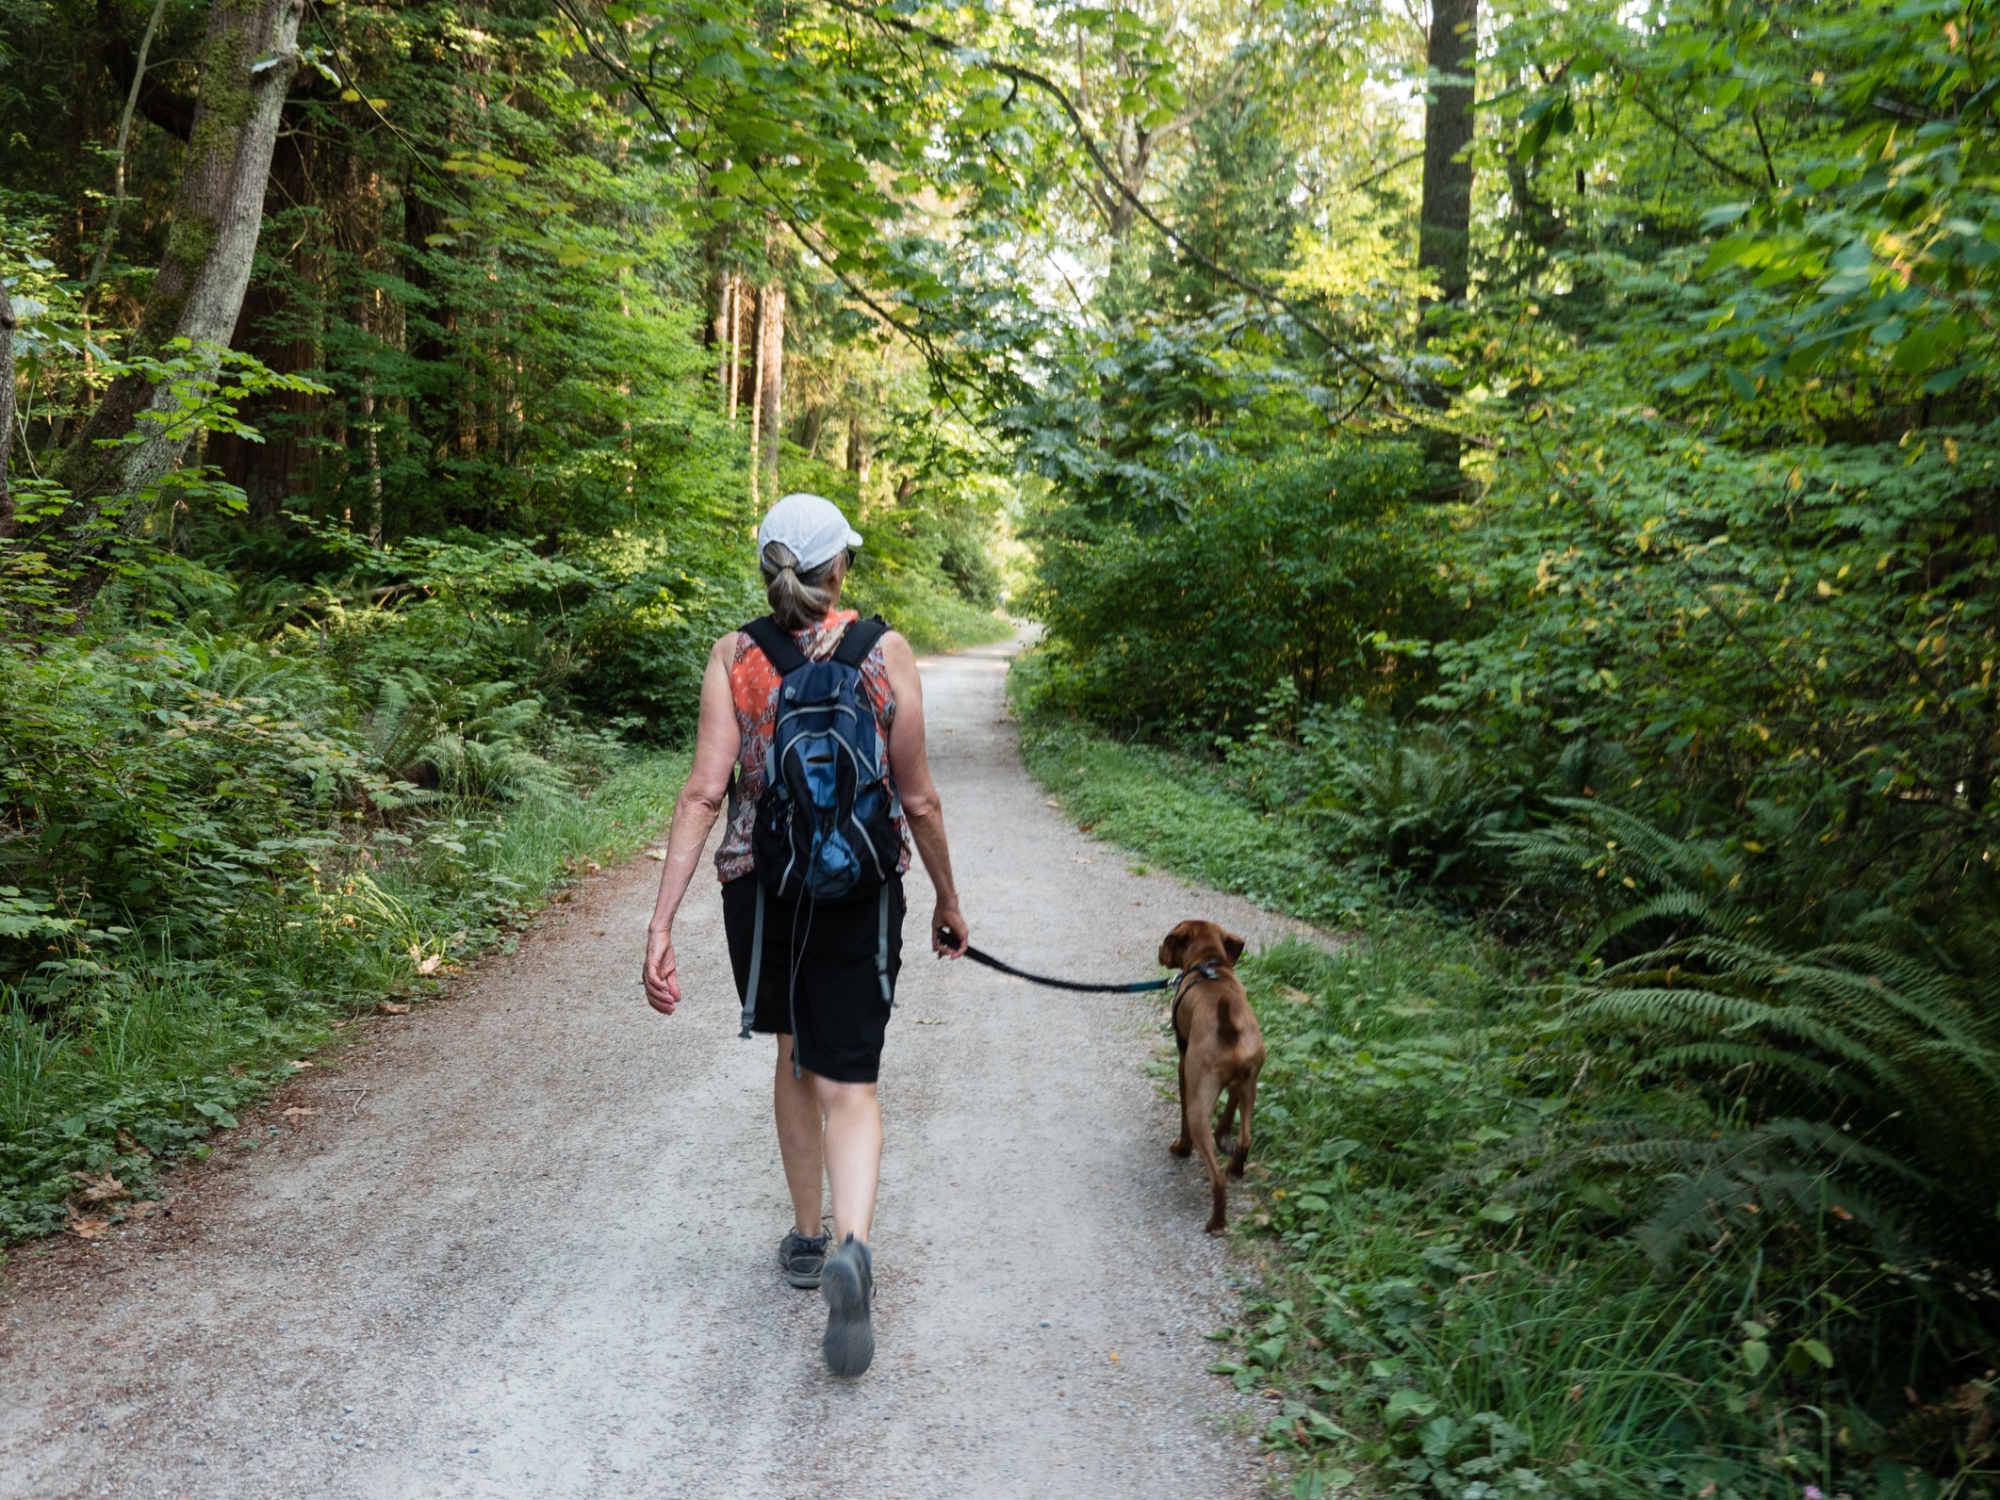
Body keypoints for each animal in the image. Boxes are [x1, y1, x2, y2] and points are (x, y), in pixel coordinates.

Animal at [1160, 924, 1264, 1240]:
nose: (1159, 951)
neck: (1209, 963)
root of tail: (1227, 1023)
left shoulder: (1184, 1067)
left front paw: (1181, 1148)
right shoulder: (1238, 1083)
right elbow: (1229, 1114)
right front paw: (1222, 1137)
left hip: (1198, 1106)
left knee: (1217, 1179)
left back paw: (1216, 1223)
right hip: (1250, 1086)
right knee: (1245, 1140)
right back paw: (1236, 1169)